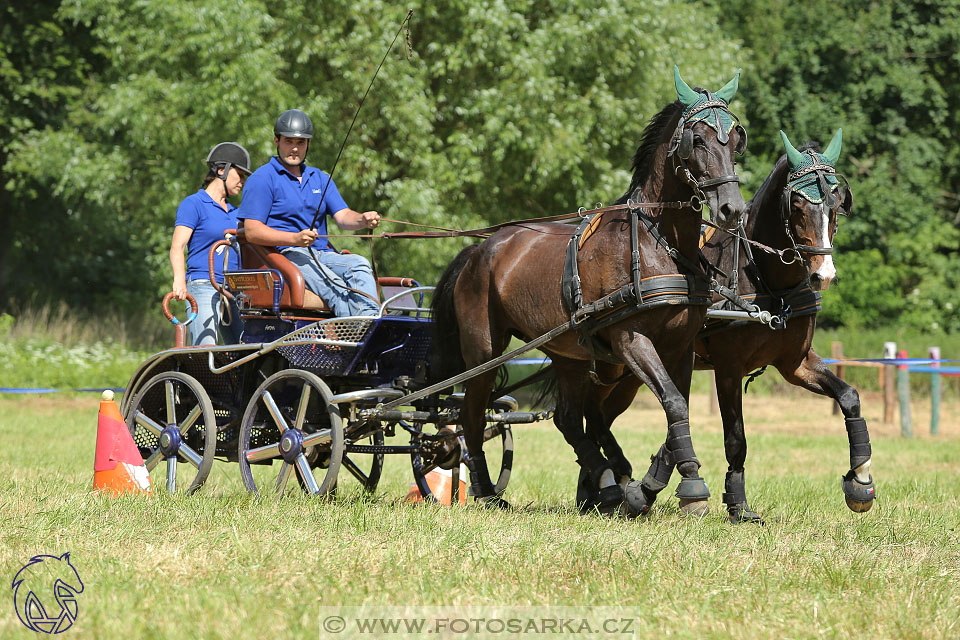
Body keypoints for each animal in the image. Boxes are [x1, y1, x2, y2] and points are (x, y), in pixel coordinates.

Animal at [434, 67, 752, 512]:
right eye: (698, 140)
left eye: (736, 139)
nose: (732, 209)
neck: (658, 241)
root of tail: (479, 249)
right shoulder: (631, 339)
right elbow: (673, 402)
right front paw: (691, 486)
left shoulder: (681, 345)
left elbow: (678, 408)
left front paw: (649, 485)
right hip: (484, 350)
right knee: (472, 415)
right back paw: (487, 492)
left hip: (567, 351)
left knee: (567, 418)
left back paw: (607, 480)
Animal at [572, 127, 872, 524]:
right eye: (797, 206)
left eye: (835, 206)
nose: (822, 275)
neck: (764, 279)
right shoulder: (728, 368)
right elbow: (734, 437)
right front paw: (736, 503)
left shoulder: (795, 363)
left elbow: (849, 396)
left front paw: (861, 480)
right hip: (615, 367)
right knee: (590, 417)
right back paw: (601, 489)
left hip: (627, 376)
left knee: (597, 419)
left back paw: (594, 491)